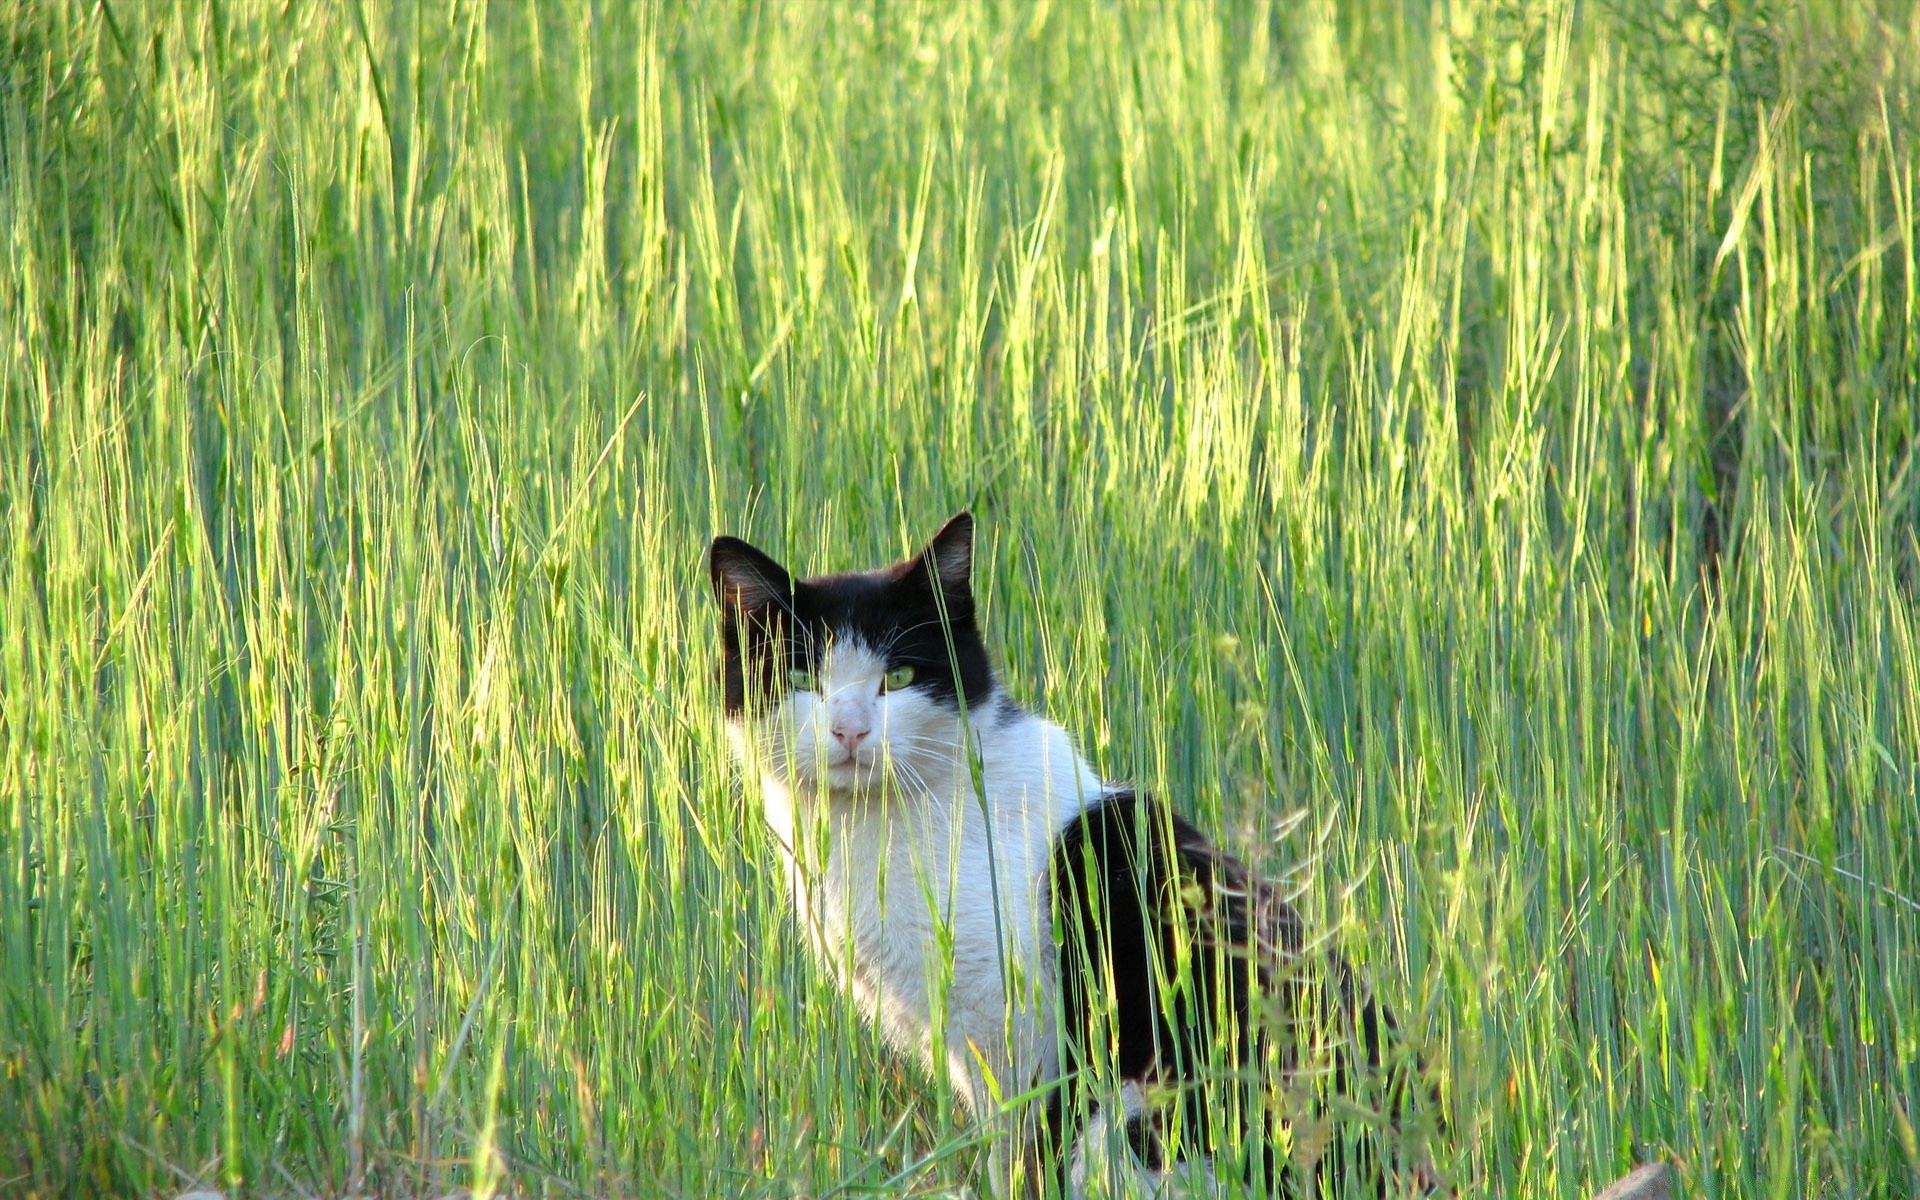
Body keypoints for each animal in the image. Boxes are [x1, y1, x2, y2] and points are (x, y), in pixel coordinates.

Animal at [714, 510, 1436, 1190]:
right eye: (801, 675)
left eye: (901, 675)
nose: (850, 731)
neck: (884, 822)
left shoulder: (1015, 1037)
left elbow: (1017, 1160)